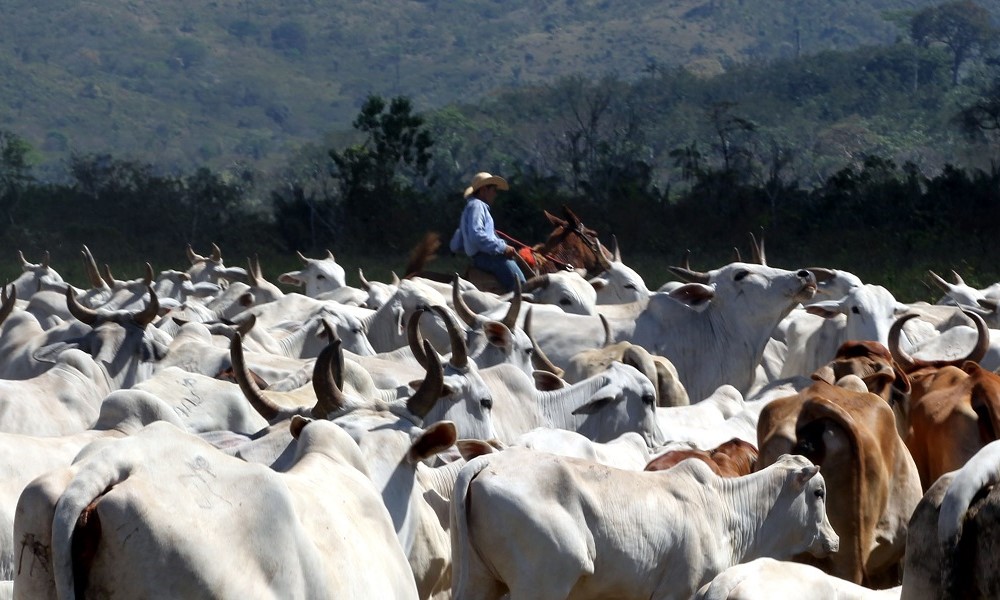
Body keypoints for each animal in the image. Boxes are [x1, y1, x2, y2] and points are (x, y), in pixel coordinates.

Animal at [452, 450, 836, 600]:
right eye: (819, 492)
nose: (834, 540)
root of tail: (489, 461)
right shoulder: (677, 591)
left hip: (477, 583)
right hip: (541, 586)